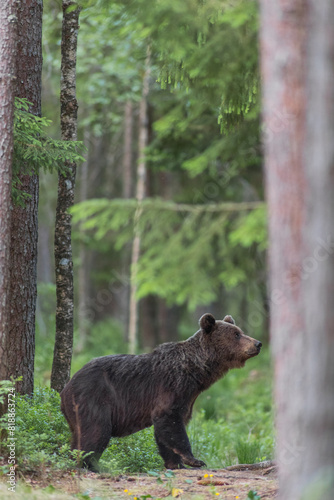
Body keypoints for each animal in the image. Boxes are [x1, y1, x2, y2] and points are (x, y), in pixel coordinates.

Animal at [61, 314, 262, 470]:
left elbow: (169, 428)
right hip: (93, 397)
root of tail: (65, 388)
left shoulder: (187, 397)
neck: (196, 373)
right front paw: (194, 460)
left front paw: (176, 463)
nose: (258, 343)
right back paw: (92, 465)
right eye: (236, 334)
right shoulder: (172, 387)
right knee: (96, 432)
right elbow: (170, 420)